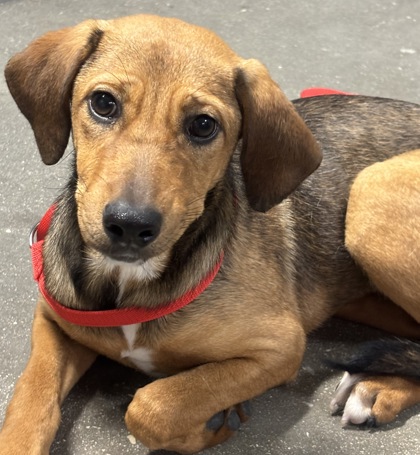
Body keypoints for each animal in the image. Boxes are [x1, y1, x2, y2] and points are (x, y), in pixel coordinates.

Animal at [1, 14, 420, 454]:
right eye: (103, 103)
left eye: (203, 125)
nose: (129, 225)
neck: (131, 282)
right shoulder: (54, 316)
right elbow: (31, 396)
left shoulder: (280, 346)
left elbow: (154, 405)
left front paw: (208, 424)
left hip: (372, 191)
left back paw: (375, 390)